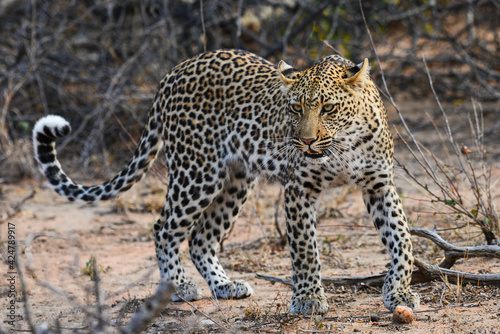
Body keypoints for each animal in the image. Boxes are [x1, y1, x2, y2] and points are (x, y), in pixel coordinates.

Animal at [33, 48, 420, 314]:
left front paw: (399, 292)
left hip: (235, 181)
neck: (344, 144)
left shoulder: (379, 186)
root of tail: (172, 73)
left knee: (201, 238)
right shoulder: (299, 189)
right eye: (295, 108)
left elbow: (402, 239)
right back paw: (180, 286)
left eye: (328, 108)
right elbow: (305, 250)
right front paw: (309, 299)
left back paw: (224, 285)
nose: (306, 141)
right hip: (196, 173)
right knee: (164, 228)